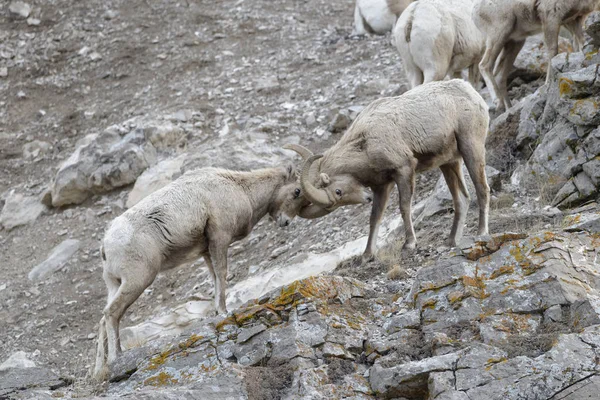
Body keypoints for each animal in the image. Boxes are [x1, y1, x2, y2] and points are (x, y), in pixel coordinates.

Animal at [94, 163, 312, 378]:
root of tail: (106, 244)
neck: (240, 188)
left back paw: (100, 370)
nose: (286, 222)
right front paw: (223, 311)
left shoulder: (207, 251)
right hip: (138, 280)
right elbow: (221, 274)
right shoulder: (220, 239)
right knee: (111, 313)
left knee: (104, 319)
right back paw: (116, 359)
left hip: (115, 284)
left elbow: (215, 278)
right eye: (297, 191)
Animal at [288, 79, 490, 258]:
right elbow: (374, 217)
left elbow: (404, 207)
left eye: (338, 192)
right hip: (449, 163)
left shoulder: (404, 170)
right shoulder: (381, 187)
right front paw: (367, 255)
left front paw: (409, 244)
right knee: (462, 198)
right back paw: (451, 241)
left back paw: (481, 233)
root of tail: (471, 91)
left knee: (482, 189)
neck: (365, 143)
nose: (366, 198)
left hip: (471, 149)